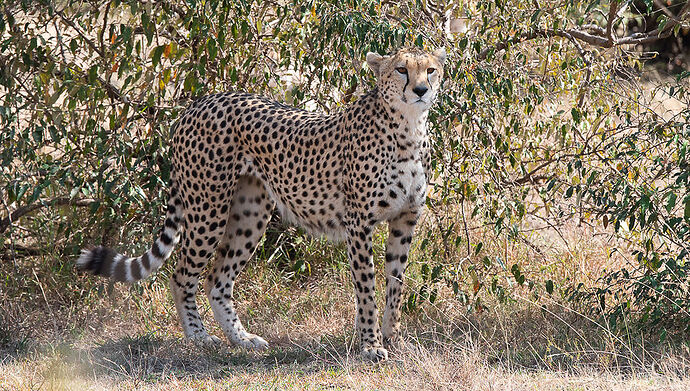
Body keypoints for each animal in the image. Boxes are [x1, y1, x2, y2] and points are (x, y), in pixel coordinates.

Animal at [76, 46, 446, 362]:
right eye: (401, 69)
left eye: (430, 69)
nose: (421, 90)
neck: (408, 129)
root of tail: (198, 102)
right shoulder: (360, 223)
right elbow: (367, 288)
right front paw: (370, 345)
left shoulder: (405, 220)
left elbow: (395, 284)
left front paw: (393, 338)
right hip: (208, 208)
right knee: (182, 275)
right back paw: (199, 337)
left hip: (250, 213)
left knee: (217, 279)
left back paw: (241, 339)